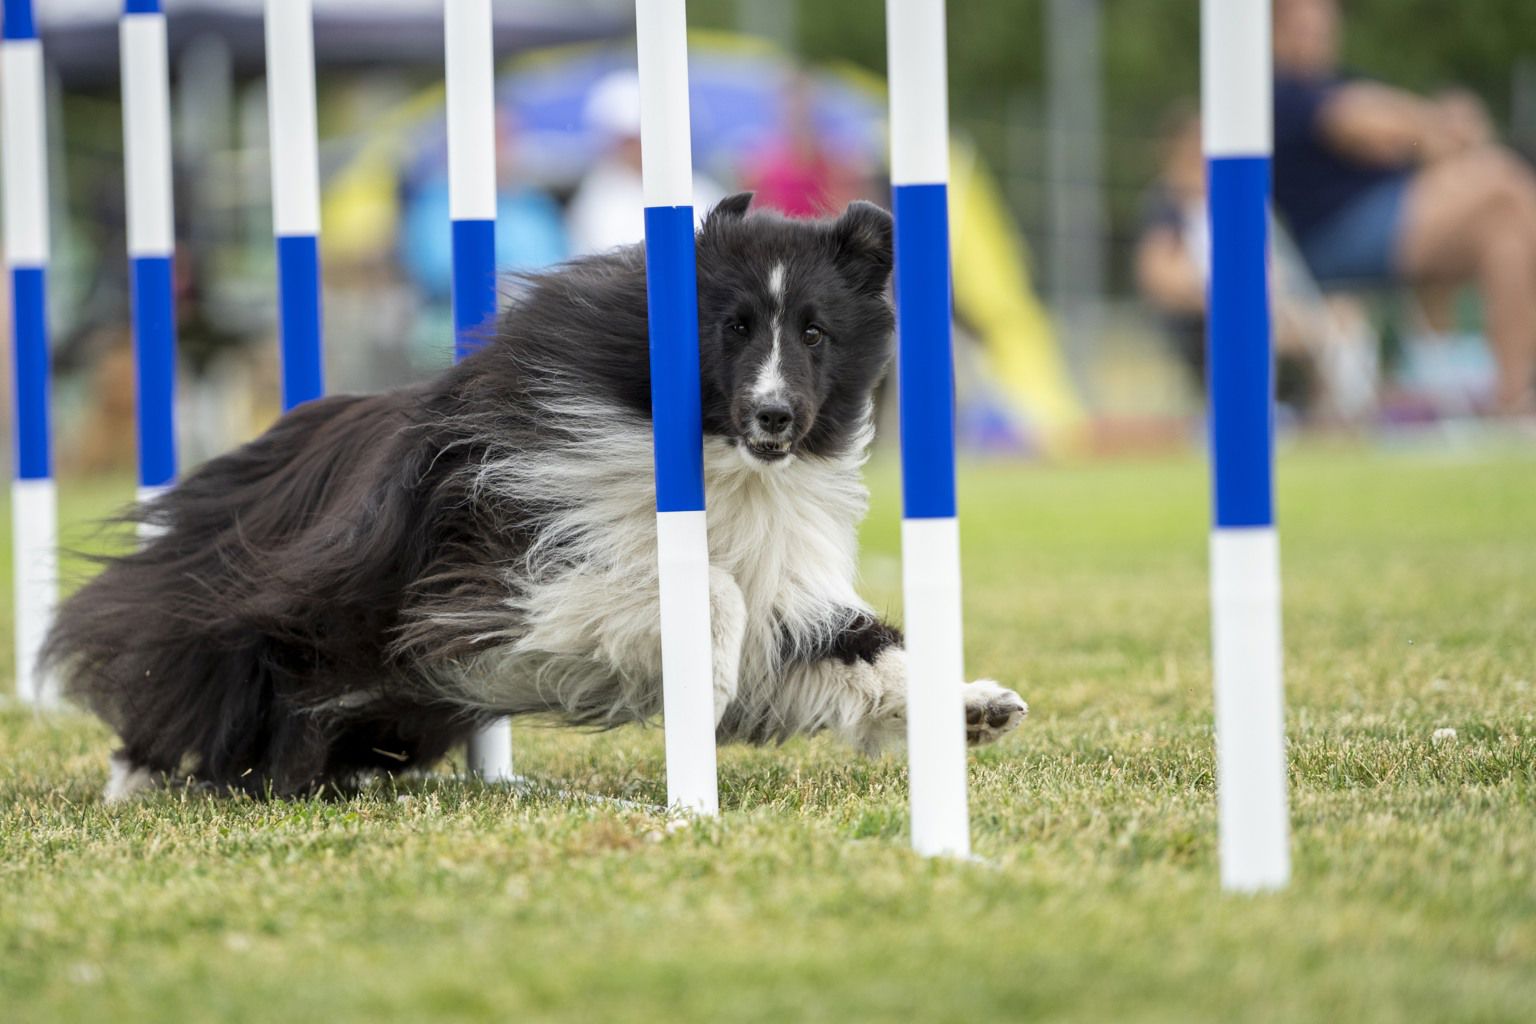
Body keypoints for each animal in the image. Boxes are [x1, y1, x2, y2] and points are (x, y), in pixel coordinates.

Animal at [44, 191, 1032, 798]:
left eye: (817, 332)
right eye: (734, 326)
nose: (776, 416)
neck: (722, 459)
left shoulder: (781, 591)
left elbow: (850, 646)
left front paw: (973, 706)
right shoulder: (508, 568)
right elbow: (706, 593)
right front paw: (704, 686)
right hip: (267, 623)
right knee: (175, 677)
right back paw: (140, 779)